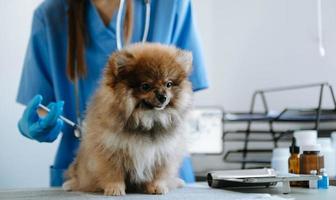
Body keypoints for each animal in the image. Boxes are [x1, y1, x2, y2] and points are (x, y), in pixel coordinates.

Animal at [63, 43, 193, 195]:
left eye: (169, 84)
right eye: (145, 86)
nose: (163, 96)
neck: (147, 119)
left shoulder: (162, 153)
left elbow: (159, 173)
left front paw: (157, 187)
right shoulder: (110, 150)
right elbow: (113, 173)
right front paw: (114, 188)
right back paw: (71, 184)